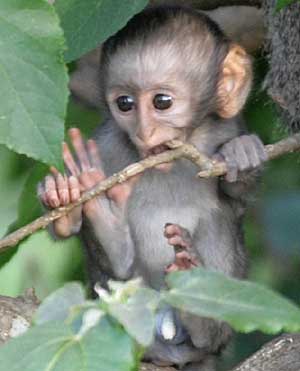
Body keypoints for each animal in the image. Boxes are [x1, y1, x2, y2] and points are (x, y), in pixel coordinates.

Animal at [38, 5, 266, 371]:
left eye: (162, 102)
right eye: (125, 103)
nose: (144, 132)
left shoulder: (226, 126)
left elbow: (236, 197)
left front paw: (242, 154)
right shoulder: (108, 143)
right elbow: (64, 226)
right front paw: (63, 200)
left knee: (218, 217)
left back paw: (199, 310)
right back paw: (108, 229)